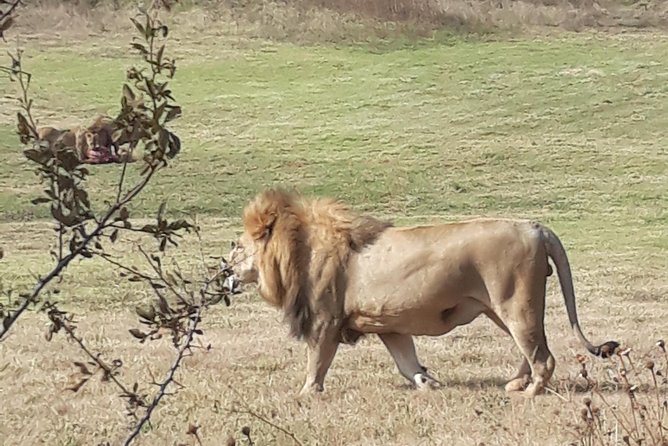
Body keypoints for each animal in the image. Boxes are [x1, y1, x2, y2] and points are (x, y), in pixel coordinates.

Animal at [226, 189, 619, 398]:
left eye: (237, 246)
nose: (224, 267)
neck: (297, 250)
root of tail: (536, 227)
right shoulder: (388, 325)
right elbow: (406, 361)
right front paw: (428, 382)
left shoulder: (325, 321)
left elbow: (317, 361)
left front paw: (307, 393)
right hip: (501, 309)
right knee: (533, 347)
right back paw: (516, 383)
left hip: (515, 304)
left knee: (542, 356)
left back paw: (529, 393)